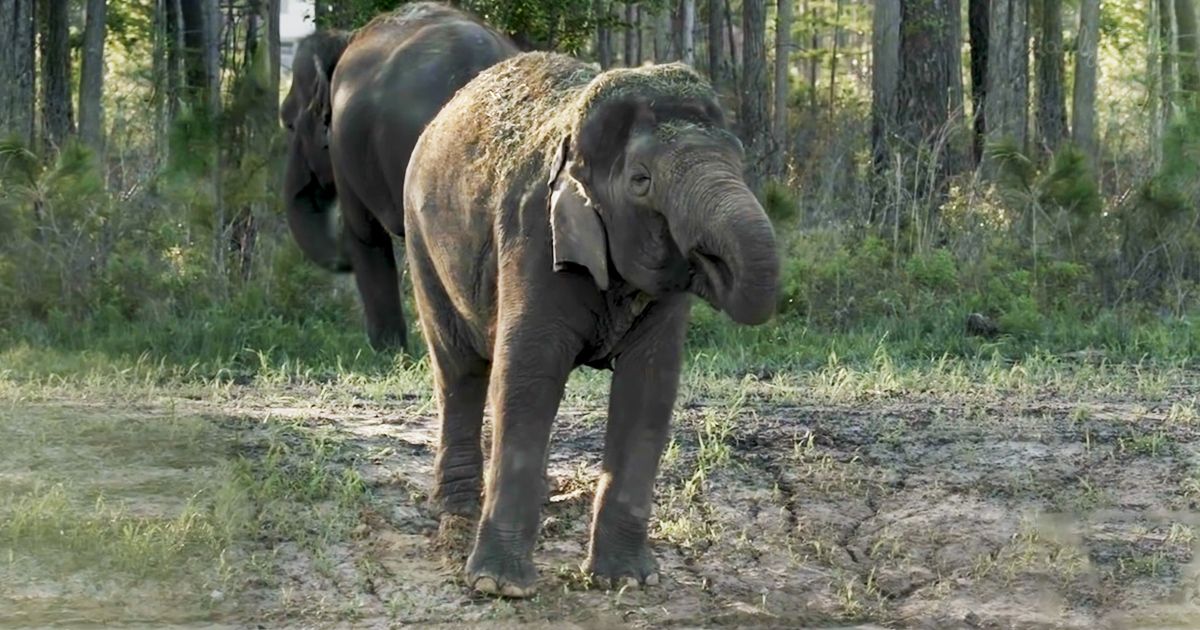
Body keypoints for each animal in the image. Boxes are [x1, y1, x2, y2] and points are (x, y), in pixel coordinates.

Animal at [403, 52, 780, 597]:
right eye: (641, 181)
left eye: (740, 162)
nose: (709, 258)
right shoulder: (534, 234)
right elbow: (527, 377)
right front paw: (500, 586)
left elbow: (649, 389)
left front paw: (628, 580)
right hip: (421, 243)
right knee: (460, 370)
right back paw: (457, 512)